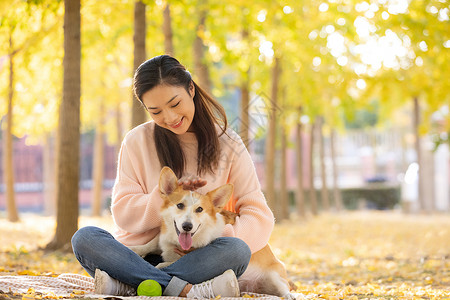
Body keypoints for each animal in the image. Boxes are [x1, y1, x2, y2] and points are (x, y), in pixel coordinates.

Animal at [128, 168, 298, 298]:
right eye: (180, 205)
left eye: (200, 209)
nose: (187, 226)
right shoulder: (162, 239)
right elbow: (150, 243)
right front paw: (134, 248)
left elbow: (165, 264)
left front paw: (159, 265)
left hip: (275, 277)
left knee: (284, 290)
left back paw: (290, 295)